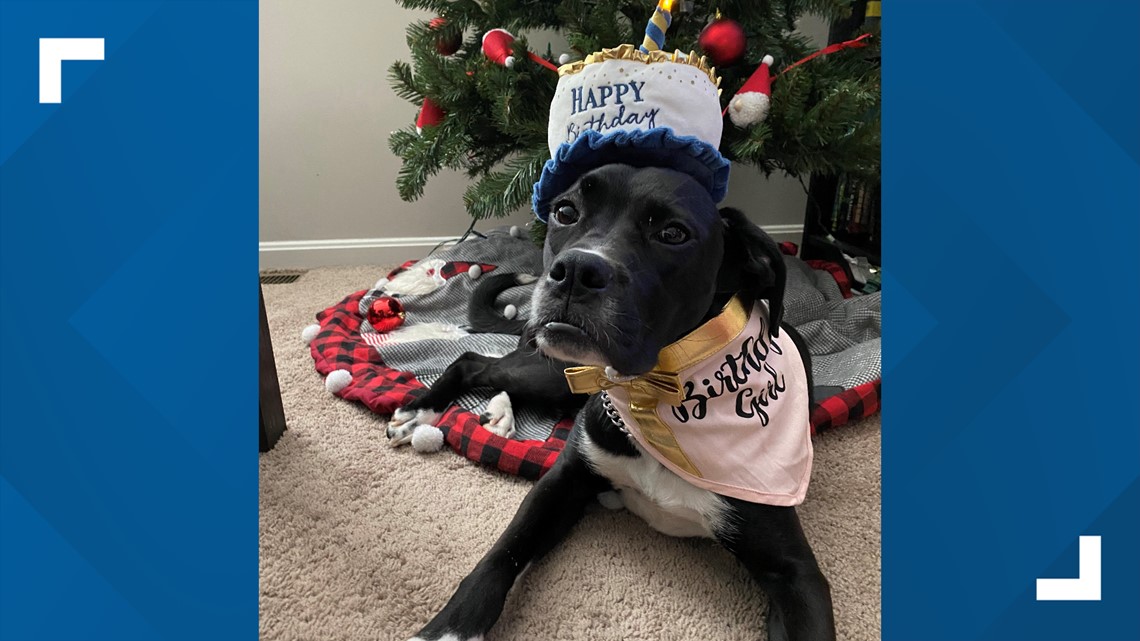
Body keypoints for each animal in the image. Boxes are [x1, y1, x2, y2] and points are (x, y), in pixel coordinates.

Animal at [401, 161, 839, 634]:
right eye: (566, 211)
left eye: (673, 233)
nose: (574, 270)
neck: (652, 394)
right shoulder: (561, 483)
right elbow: (500, 557)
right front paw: (445, 629)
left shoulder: (795, 572)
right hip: (556, 371)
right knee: (472, 361)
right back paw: (419, 411)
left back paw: (497, 414)